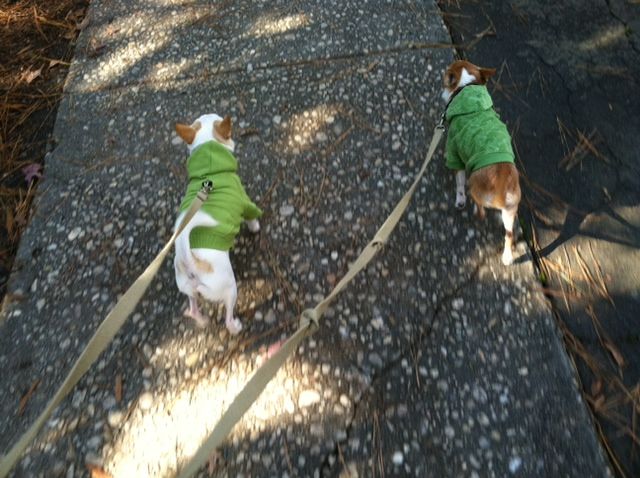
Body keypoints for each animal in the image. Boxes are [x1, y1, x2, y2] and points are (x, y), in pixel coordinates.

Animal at [442, 59, 524, 266]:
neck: (466, 87)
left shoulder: (455, 153)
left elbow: (459, 183)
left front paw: (459, 200)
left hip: (476, 188)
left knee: (480, 209)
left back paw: (475, 211)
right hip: (510, 210)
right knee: (508, 234)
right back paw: (507, 257)